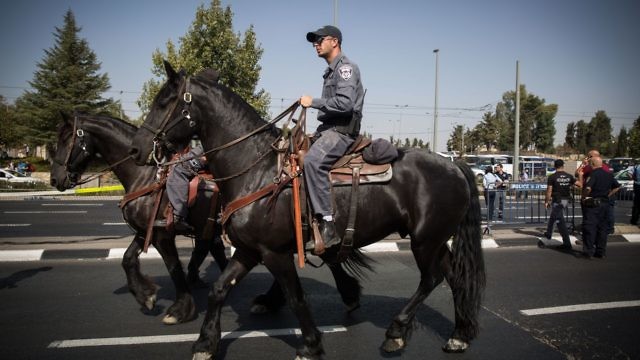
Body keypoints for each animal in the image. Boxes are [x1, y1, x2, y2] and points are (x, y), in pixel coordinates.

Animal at [51, 114, 229, 324]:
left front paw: (181, 309)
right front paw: (145, 295)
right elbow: (127, 259)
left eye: (66, 140)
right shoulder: (145, 230)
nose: (55, 179)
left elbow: (174, 268)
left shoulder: (161, 235)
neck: (146, 176)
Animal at [130, 63, 488, 358]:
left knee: (432, 278)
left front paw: (311, 344)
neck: (257, 169)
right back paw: (459, 335)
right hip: (435, 241)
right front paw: (205, 343)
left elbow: (296, 296)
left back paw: (396, 332)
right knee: (454, 276)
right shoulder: (249, 249)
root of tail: (455, 166)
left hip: (424, 241)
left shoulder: (274, 252)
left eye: (164, 101)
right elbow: (219, 290)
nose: (137, 148)